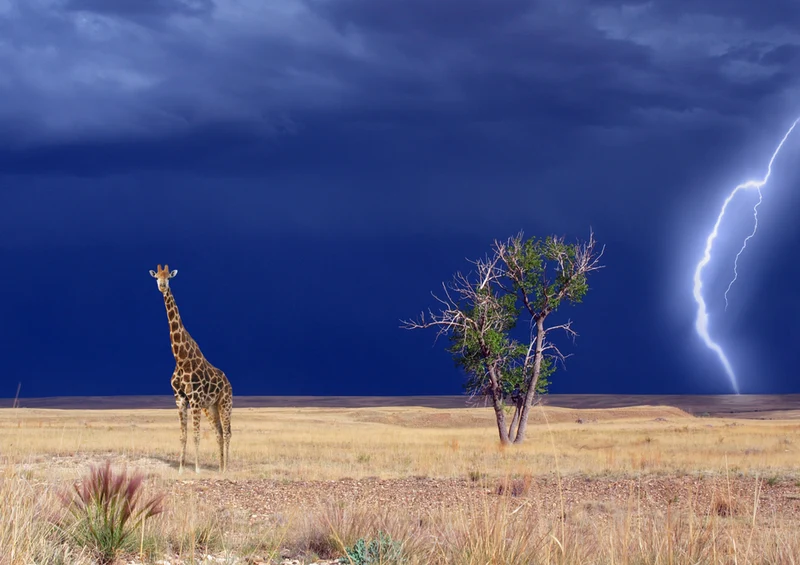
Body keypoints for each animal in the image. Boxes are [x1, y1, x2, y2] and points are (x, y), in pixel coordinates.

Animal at [149, 264, 233, 473]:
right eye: (157, 277)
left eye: (169, 277)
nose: (162, 286)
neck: (180, 358)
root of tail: (229, 382)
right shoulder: (180, 399)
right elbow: (183, 436)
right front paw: (180, 468)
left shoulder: (194, 399)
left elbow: (195, 434)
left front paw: (197, 469)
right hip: (210, 406)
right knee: (219, 431)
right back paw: (220, 468)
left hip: (225, 402)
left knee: (227, 432)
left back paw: (227, 467)